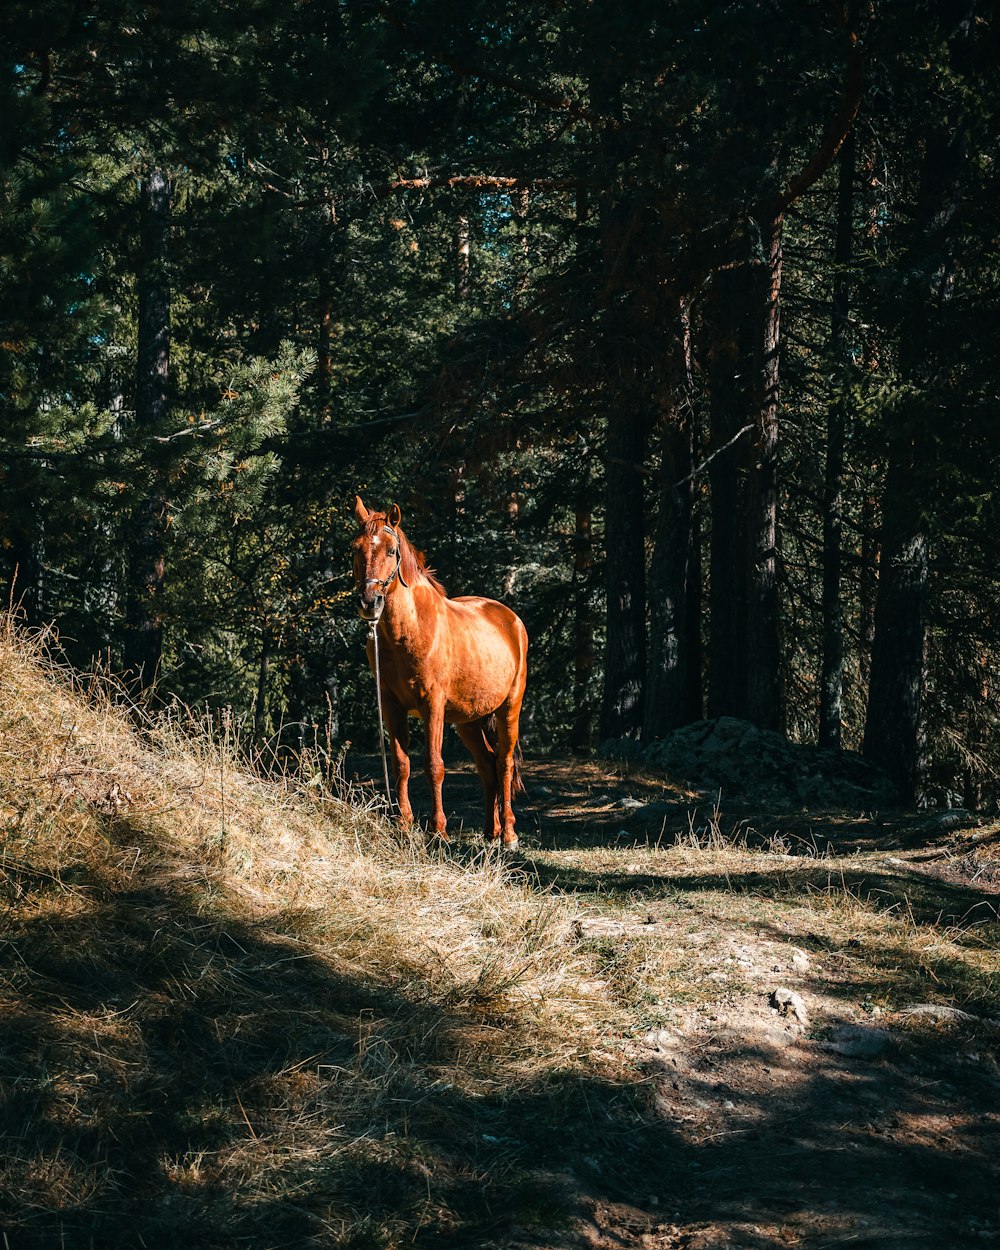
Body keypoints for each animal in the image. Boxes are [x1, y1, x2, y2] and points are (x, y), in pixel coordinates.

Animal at [352, 495, 527, 850]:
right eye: (355, 548)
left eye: (391, 550)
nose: (369, 601)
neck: (410, 630)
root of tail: (511, 619)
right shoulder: (391, 706)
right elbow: (402, 764)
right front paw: (403, 824)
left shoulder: (432, 705)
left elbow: (434, 765)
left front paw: (438, 830)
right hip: (469, 721)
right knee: (487, 764)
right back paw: (491, 831)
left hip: (509, 708)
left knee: (503, 763)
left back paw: (509, 835)